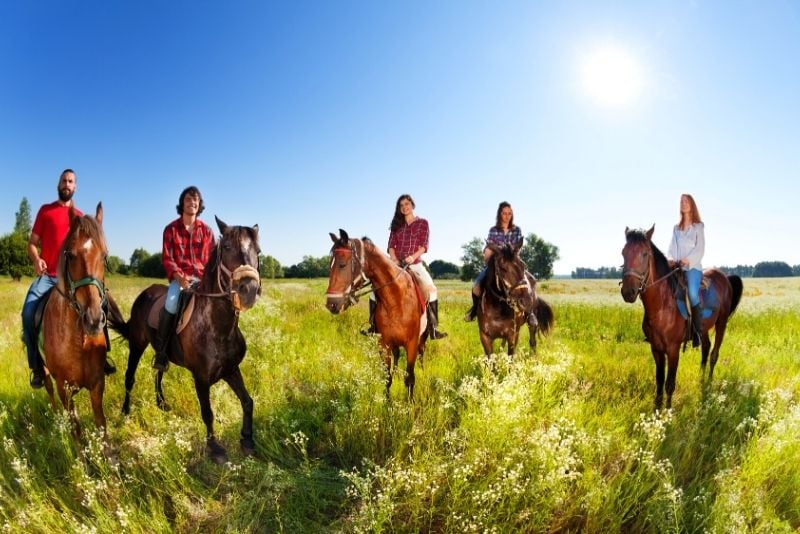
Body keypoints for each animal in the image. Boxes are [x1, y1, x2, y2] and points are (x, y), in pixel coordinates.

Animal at [42, 203, 112, 438]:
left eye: (104, 256)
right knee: (47, 386)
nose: (93, 320)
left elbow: (101, 426)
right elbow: (77, 431)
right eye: (71, 256)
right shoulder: (64, 388)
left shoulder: (97, 384)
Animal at [106, 218, 260, 464]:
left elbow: (247, 401)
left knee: (158, 372)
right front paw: (214, 448)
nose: (249, 290)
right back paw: (125, 412)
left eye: (258, 251)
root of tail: (145, 293)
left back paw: (161, 404)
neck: (219, 327)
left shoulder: (231, 370)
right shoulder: (201, 379)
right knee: (130, 378)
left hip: (161, 351)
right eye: (227, 247)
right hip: (137, 345)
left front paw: (247, 440)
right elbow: (208, 412)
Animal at [324, 230, 428, 402]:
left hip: (422, 339)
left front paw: (410, 403)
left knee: (421, 353)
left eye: (342, 264)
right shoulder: (384, 344)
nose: (331, 304)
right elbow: (387, 377)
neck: (396, 300)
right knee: (397, 356)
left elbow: (410, 377)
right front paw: (387, 402)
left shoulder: (412, 343)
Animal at [620, 226, 744, 410]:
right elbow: (659, 381)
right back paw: (701, 380)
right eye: (623, 253)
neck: (662, 306)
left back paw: (709, 384)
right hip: (703, 330)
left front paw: (667, 412)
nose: (628, 292)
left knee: (714, 354)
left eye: (644, 254)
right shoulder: (656, 349)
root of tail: (724, 277)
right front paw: (656, 410)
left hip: (721, 324)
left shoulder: (673, 349)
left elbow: (669, 383)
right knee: (706, 347)